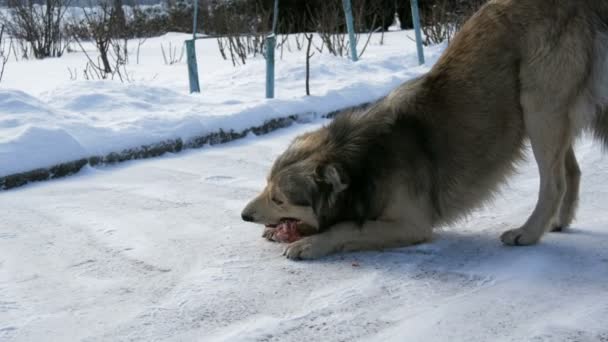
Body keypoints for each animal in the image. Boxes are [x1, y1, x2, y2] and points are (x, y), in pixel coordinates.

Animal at [240, 0, 608, 260]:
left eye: (279, 198)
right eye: (266, 186)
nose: (244, 215)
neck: (362, 162)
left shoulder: (411, 224)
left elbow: (345, 228)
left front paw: (311, 243)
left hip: (538, 106)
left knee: (554, 181)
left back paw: (529, 233)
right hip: (547, 116)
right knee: (571, 170)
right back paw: (557, 221)